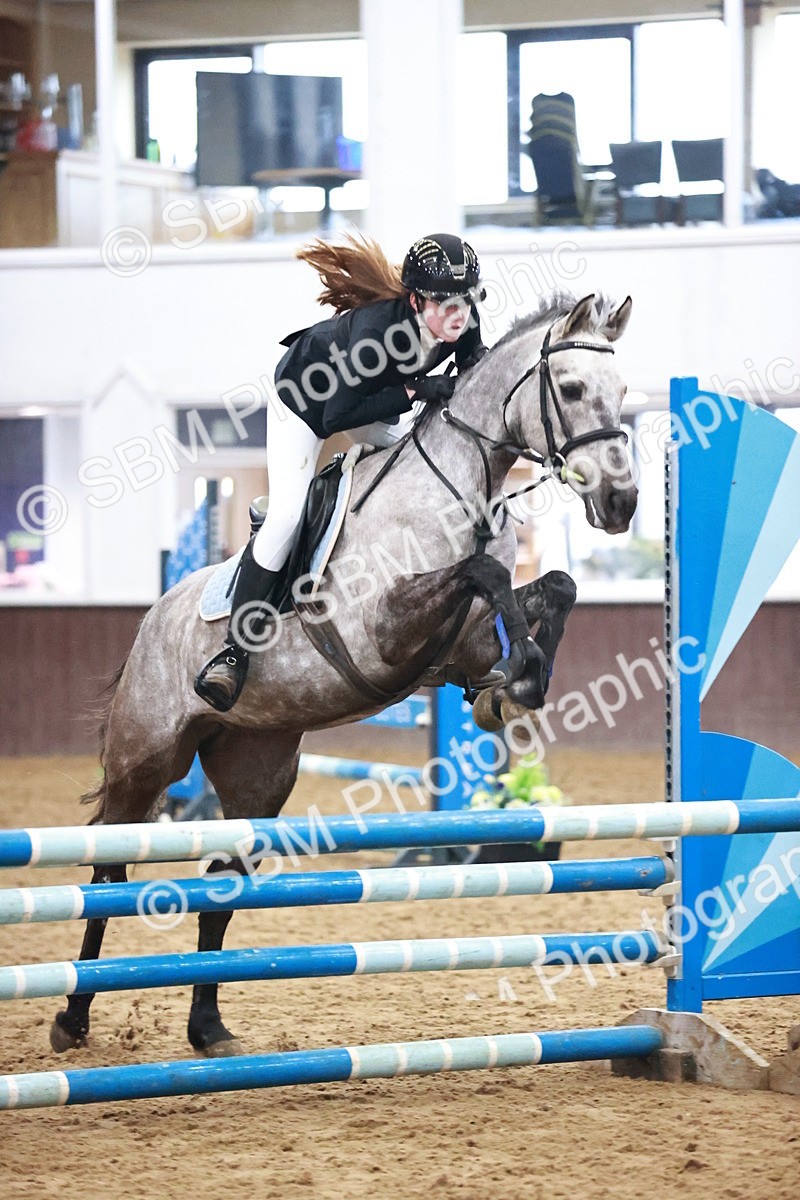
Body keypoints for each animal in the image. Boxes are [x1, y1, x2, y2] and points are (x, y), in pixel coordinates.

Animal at [51, 291, 637, 1057]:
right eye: (569, 390)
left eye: (622, 392)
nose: (623, 504)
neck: (465, 487)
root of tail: (153, 619)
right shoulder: (382, 630)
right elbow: (483, 571)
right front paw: (518, 677)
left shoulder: (463, 641)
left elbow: (552, 588)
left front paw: (515, 685)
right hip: (144, 758)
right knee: (105, 874)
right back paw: (72, 1017)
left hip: (257, 771)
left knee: (218, 885)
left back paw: (208, 1028)